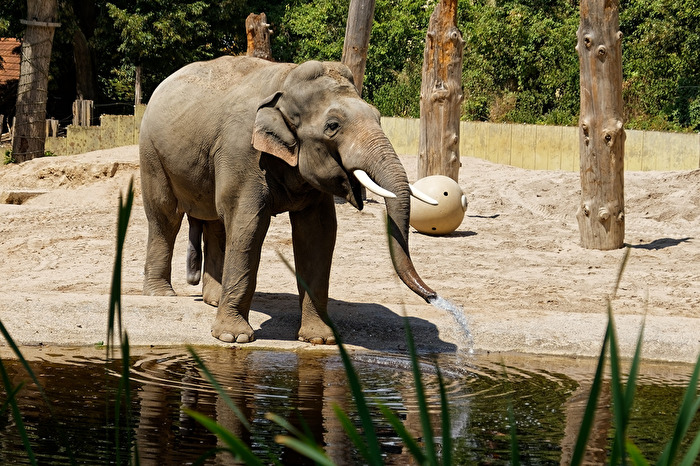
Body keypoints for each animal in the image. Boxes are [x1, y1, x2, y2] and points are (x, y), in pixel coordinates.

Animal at [139, 56, 438, 344]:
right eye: (333, 126)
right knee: (165, 216)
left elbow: (317, 233)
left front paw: (319, 339)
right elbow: (248, 225)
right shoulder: (242, 152)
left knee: (215, 223)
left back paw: (213, 299)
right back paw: (161, 295)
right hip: (151, 152)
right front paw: (233, 337)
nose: (433, 296)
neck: (286, 80)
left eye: (377, 116)